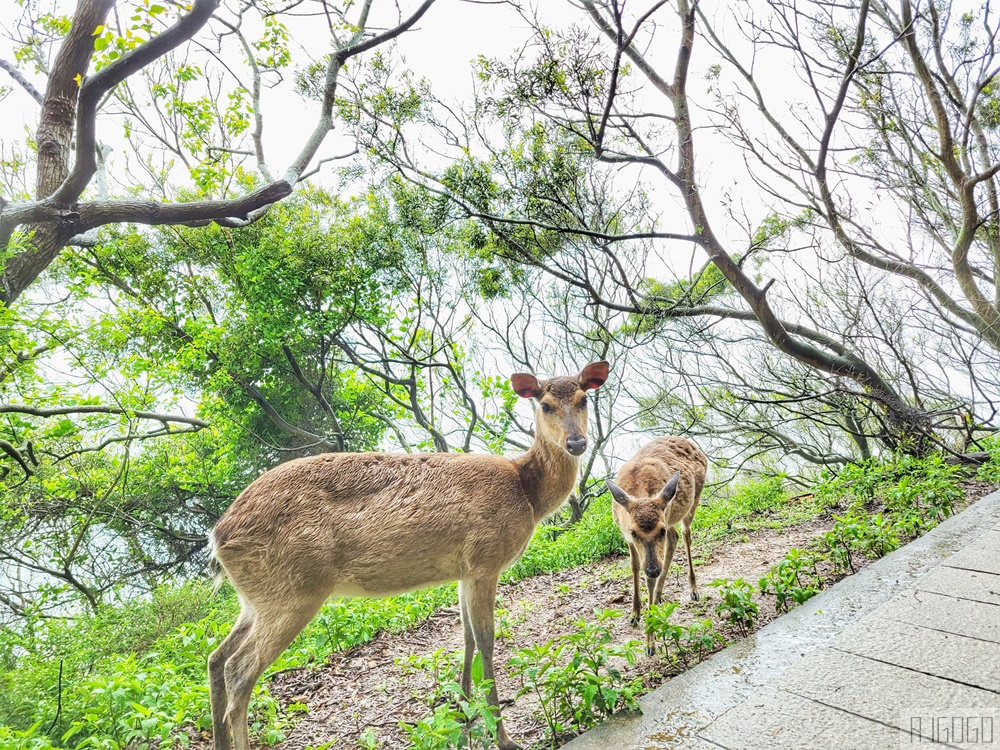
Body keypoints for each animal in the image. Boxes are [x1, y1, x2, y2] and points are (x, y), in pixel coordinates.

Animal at [207, 362, 604, 750]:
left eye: (584, 399)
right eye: (545, 405)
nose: (576, 442)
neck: (527, 493)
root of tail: (218, 536)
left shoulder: (464, 569)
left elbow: (466, 636)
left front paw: (462, 707)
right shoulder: (485, 558)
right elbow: (487, 640)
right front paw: (503, 736)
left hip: (257, 598)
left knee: (216, 657)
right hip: (294, 590)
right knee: (239, 671)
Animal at [604, 438, 708, 656]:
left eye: (659, 530)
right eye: (634, 532)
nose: (652, 569)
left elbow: (648, 581)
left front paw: (649, 643)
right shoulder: (626, 537)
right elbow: (634, 566)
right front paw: (635, 613)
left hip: (693, 502)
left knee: (685, 535)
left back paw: (693, 589)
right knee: (674, 538)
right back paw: (659, 594)